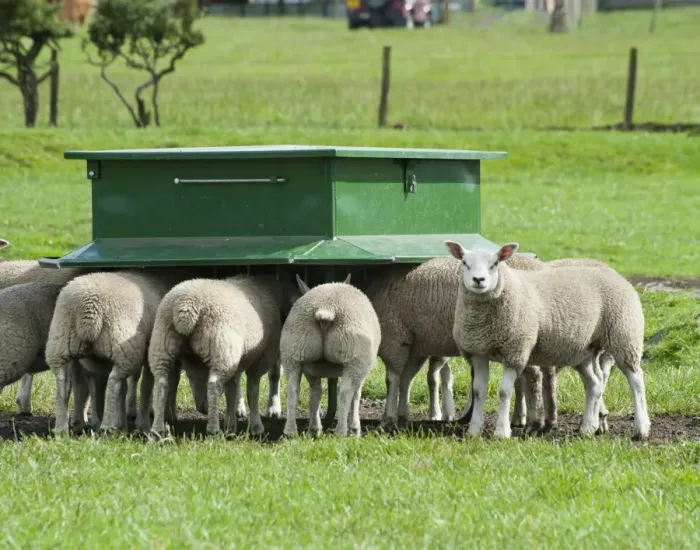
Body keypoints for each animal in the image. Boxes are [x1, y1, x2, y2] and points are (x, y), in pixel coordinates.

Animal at [44, 268, 196, 434]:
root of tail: (88, 308)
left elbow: (124, 389)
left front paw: (122, 425)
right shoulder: (150, 351)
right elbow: (146, 386)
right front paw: (142, 425)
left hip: (60, 344)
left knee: (63, 383)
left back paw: (62, 428)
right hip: (123, 348)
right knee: (113, 383)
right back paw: (106, 426)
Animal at [147, 273, 298, 437]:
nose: (203, 409)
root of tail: (186, 307)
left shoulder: (237, 361)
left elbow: (232, 389)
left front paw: (231, 425)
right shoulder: (261, 358)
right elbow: (252, 392)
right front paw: (256, 426)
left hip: (162, 344)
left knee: (162, 384)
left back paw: (157, 429)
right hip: (221, 349)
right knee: (214, 386)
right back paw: (213, 429)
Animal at [281, 274, 381, 437]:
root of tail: (326, 309)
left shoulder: (312, 371)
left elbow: (315, 394)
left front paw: (314, 428)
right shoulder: (363, 366)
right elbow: (356, 394)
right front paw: (355, 429)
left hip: (294, 351)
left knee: (292, 389)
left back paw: (291, 431)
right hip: (354, 355)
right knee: (345, 392)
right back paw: (342, 431)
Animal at [445, 240, 650, 440]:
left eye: (495, 264)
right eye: (465, 263)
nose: (478, 280)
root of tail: (618, 276)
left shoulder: (516, 351)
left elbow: (504, 391)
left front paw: (502, 432)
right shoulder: (477, 352)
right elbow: (479, 391)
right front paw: (473, 430)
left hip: (624, 335)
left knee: (636, 381)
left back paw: (641, 429)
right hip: (583, 349)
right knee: (595, 383)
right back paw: (587, 428)